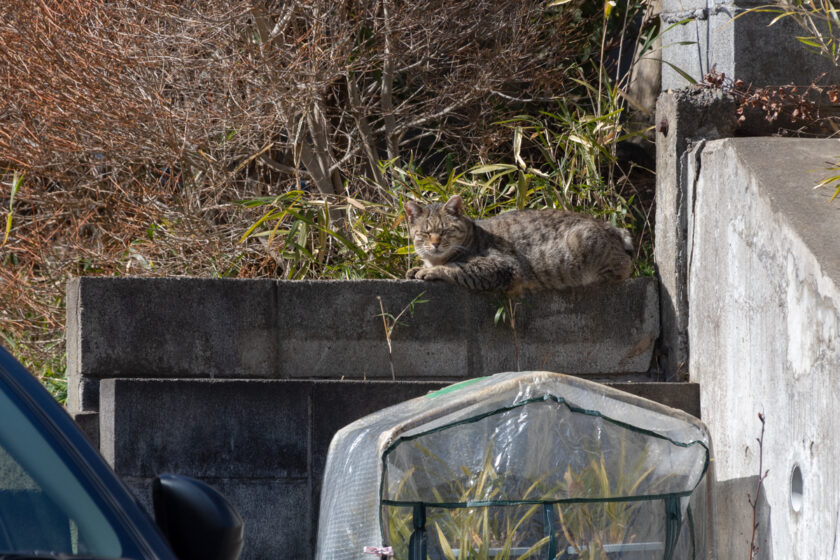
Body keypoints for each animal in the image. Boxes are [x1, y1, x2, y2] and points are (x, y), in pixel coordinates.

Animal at [406, 195, 632, 294]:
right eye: (425, 233)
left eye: (445, 231)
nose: (435, 243)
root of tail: (612, 227)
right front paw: (418, 268)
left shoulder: (500, 266)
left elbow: (456, 267)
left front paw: (429, 271)